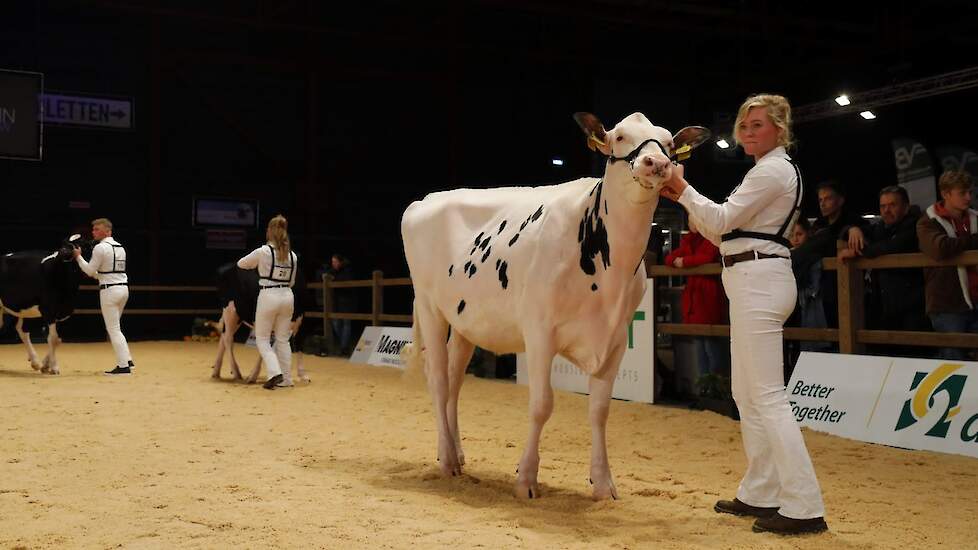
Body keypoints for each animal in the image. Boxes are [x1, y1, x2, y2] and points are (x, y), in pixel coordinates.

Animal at [0, 235, 88, 378]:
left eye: (82, 244)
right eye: (64, 243)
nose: (63, 251)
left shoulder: (61, 313)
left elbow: (58, 339)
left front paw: (45, 365)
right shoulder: (48, 309)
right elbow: (52, 338)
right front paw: (54, 367)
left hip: (19, 308)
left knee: (21, 330)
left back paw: (35, 362)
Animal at [400, 112, 704, 500]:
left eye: (667, 144)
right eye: (620, 137)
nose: (657, 163)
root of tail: (424, 201)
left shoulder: (616, 338)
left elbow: (600, 410)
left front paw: (603, 483)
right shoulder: (540, 332)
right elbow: (542, 404)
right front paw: (526, 478)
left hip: (466, 320)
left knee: (454, 382)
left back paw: (455, 451)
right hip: (429, 307)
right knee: (438, 380)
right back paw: (448, 461)